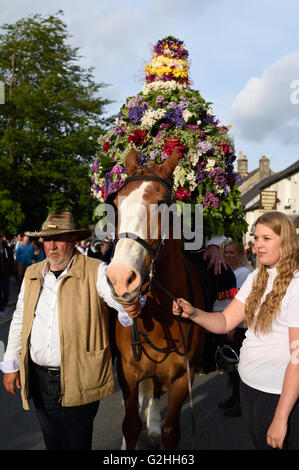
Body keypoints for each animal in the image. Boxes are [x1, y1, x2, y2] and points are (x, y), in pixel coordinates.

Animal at [106, 149, 207, 450]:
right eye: (117, 202)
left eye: (162, 203)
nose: (120, 278)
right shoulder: (127, 372)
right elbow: (130, 424)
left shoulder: (182, 378)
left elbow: (170, 431)